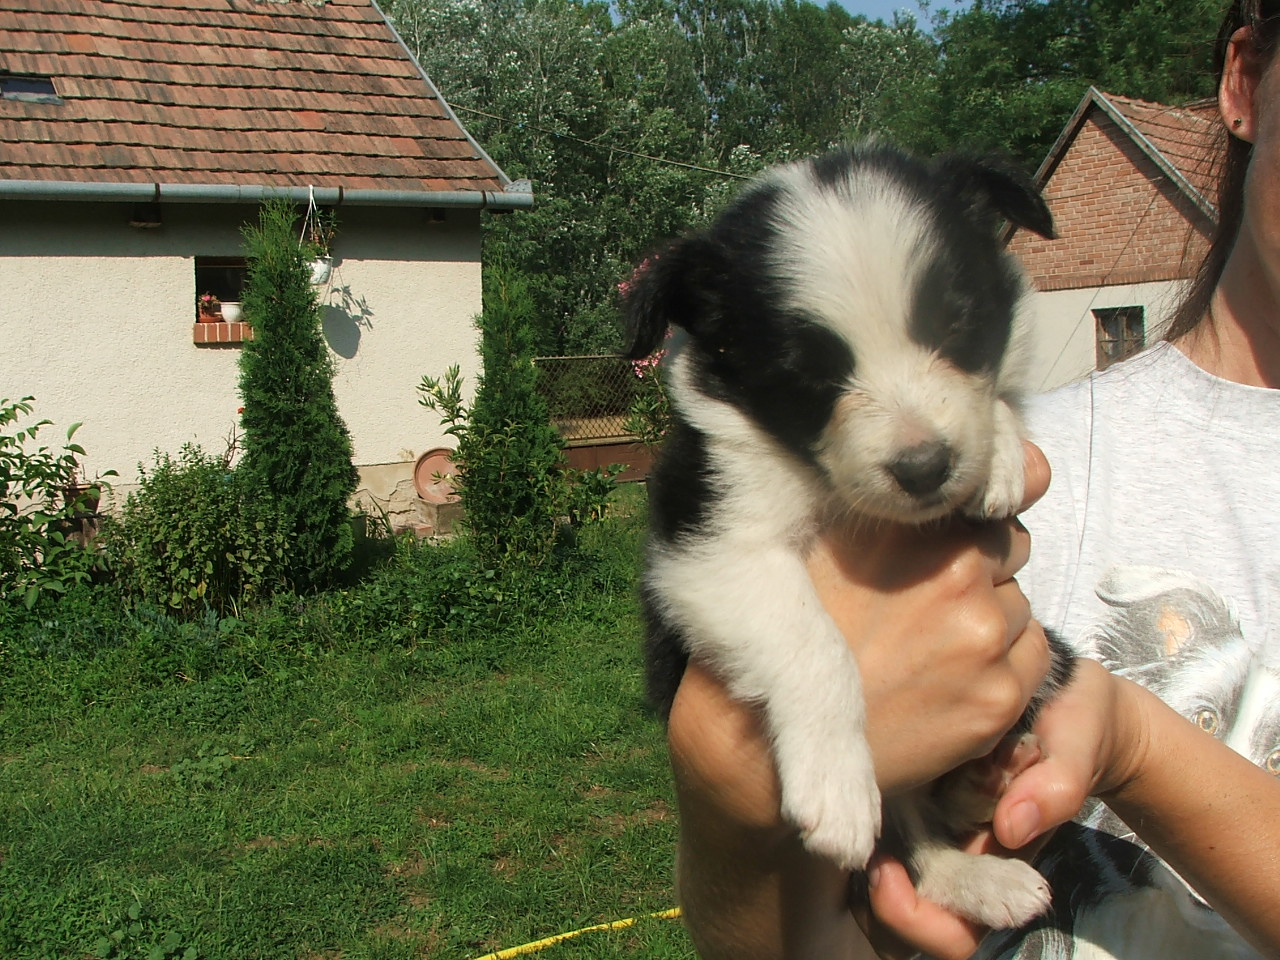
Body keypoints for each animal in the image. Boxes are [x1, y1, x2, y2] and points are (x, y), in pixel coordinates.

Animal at [629, 144, 1080, 931]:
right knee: (907, 821)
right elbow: (813, 642)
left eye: (955, 327)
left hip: (1053, 653)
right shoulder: (709, 544)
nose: (925, 467)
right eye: (808, 375)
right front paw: (834, 782)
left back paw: (981, 827)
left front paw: (998, 449)